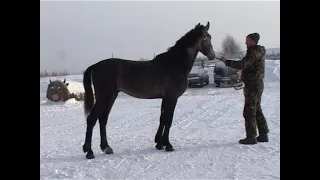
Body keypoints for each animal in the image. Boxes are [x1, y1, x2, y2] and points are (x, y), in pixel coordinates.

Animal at [82, 21, 215, 159]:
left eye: (210, 37)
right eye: (205, 38)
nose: (212, 55)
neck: (174, 64)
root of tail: (96, 65)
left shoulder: (165, 98)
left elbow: (162, 118)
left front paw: (159, 143)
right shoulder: (172, 97)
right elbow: (168, 119)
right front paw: (168, 145)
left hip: (111, 97)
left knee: (103, 120)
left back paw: (106, 148)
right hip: (104, 97)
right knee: (92, 119)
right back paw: (89, 152)